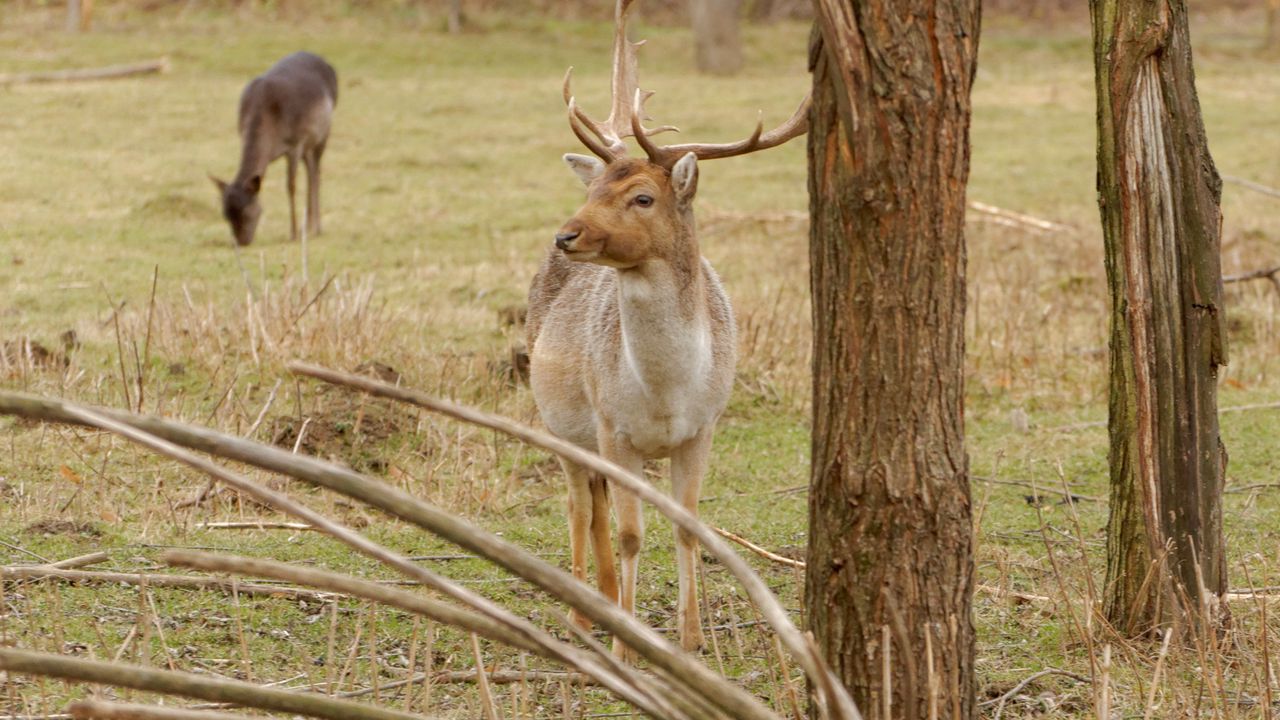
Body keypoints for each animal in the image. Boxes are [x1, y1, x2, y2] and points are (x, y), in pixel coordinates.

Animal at [208, 51, 335, 245]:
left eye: (247, 211)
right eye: (225, 214)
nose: (242, 242)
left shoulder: (295, 144)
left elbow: (291, 186)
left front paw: (293, 234)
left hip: (323, 132)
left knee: (316, 173)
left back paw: (316, 228)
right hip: (308, 143)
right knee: (311, 170)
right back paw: (309, 225)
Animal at [524, 0, 803, 661]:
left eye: (643, 197)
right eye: (597, 187)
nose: (566, 234)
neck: (665, 392)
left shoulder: (703, 426)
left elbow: (689, 526)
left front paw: (693, 638)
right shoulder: (613, 425)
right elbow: (629, 532)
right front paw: (629, 647)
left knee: (594, 505)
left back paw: (601, 605)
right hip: (559, 420)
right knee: (578, 505)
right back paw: (582, 616)